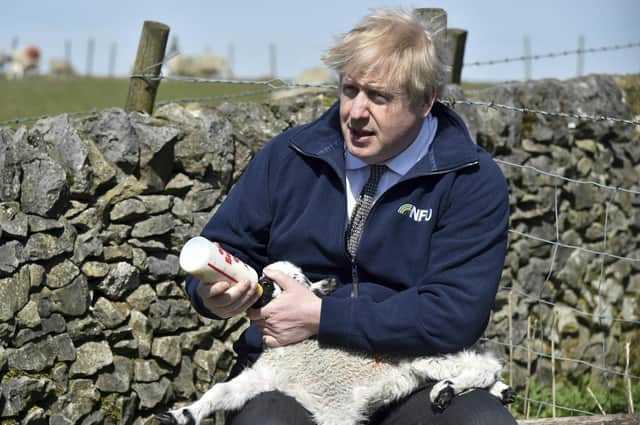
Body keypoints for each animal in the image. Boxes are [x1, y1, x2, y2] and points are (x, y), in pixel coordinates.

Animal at [156, 260, 516, 424]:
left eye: (290, 282)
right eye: (261, 276)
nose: (261, 285)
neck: (298, 352)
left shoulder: (336, 405)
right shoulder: (263, 377)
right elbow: (222, 391)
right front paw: (181, 414)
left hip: (426, 351)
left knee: (483, 366)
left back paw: (446, 391)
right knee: (485, 367)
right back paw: (499, 392)